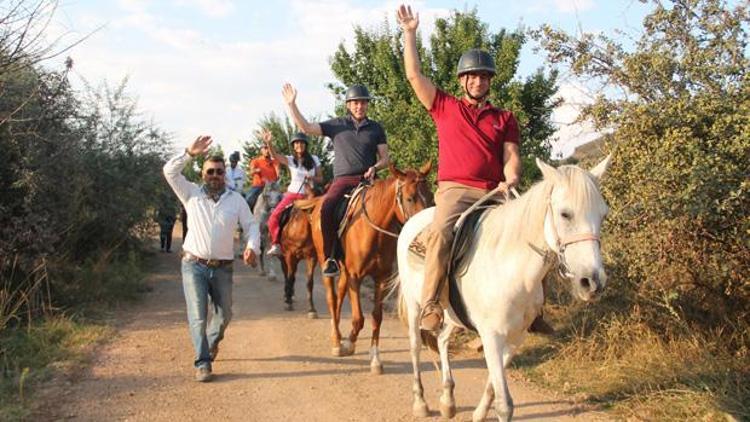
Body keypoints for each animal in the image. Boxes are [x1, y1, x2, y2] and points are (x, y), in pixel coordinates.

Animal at [308, 162, 434, 372]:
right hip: (326, 262)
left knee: (339, 295)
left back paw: (339, 336)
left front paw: (375, 358)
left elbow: (376, 317)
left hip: (344, 270)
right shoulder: (355, 276)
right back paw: (336, 341)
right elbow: (359, 318)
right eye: (410, 198)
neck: (375, 232)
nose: (425, 232)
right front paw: (349, 344)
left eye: (431, 196)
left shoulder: (381, 278)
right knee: (331, 299)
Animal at [396, 157, 612, 420]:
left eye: (603, 215)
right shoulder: (491, 336)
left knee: (443, 340)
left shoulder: (516, 337)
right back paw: (420, 403)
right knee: (416, 346)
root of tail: (412, 222)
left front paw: (479, 413)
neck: (510, 268)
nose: (592, 282)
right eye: (565, 214)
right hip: (414, 306)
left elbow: (493, 388)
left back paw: (448, 400)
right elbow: (504, 404)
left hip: (453, 316)